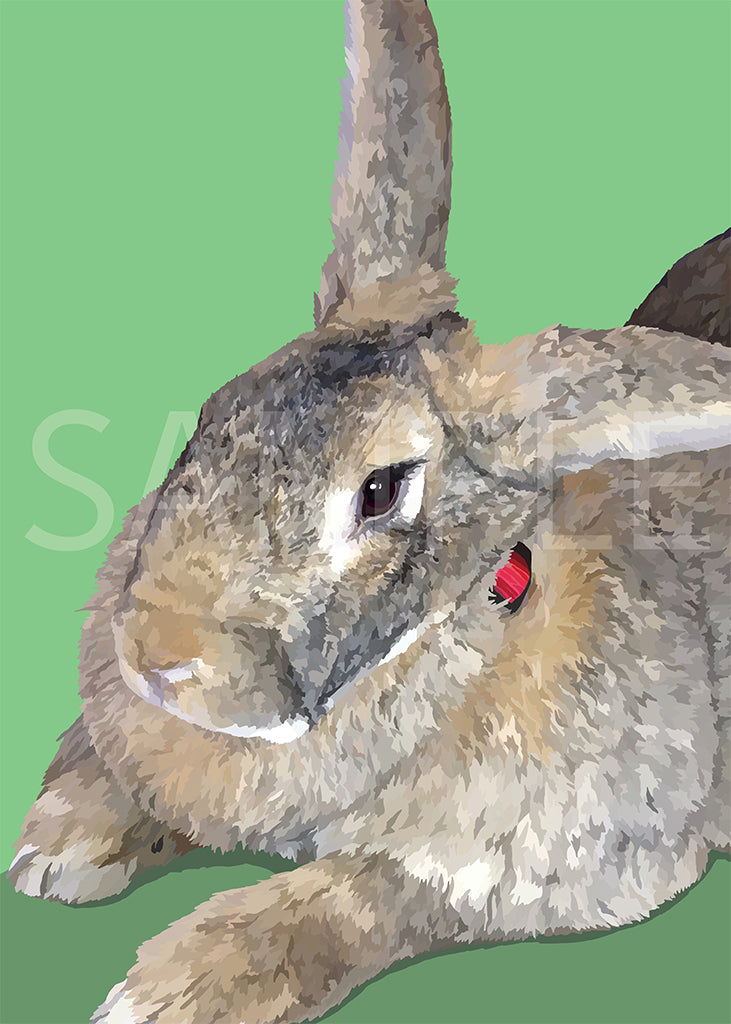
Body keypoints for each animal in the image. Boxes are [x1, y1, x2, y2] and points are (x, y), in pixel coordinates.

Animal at [8, 1, 731, 1023]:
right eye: (215, 414)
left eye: (381, 491)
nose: (155, 658)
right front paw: (61, 843)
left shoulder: (533, 865)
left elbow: (356, 895)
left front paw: (174, 990)